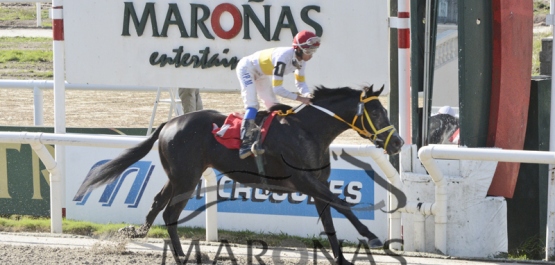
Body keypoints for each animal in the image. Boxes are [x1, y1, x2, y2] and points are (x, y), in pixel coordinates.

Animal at [75, 85, 404, 264]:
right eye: (377, 112)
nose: (399, 142)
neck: (308, 132)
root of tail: (169, 123)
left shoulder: (316, 184)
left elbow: (331, 219)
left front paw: (341, 256)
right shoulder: (305, 181)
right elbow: (344, 205)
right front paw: (373, 237)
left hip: (178, 176)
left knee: (157, 204)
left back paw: (138, 233)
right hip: (187, 178)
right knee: (169, 213)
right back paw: (182, 255)